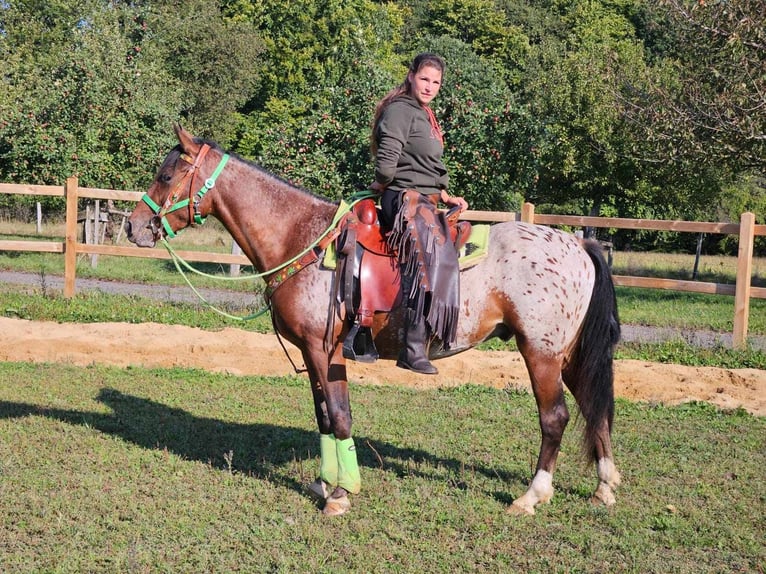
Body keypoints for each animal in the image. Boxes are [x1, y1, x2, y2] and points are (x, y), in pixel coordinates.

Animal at [126, 125, 624, 516]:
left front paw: (342, 494)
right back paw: (604, 486)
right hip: (569, 354)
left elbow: (340, 416)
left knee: (555, 417)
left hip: (540, 351)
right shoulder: (313, 352)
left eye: (166, 175)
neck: (302, 237)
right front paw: (325, 482)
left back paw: (532, 495)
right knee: (593, 406)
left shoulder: (323, 349)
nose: (133, 226)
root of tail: (579, 245)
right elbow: (324, 417)